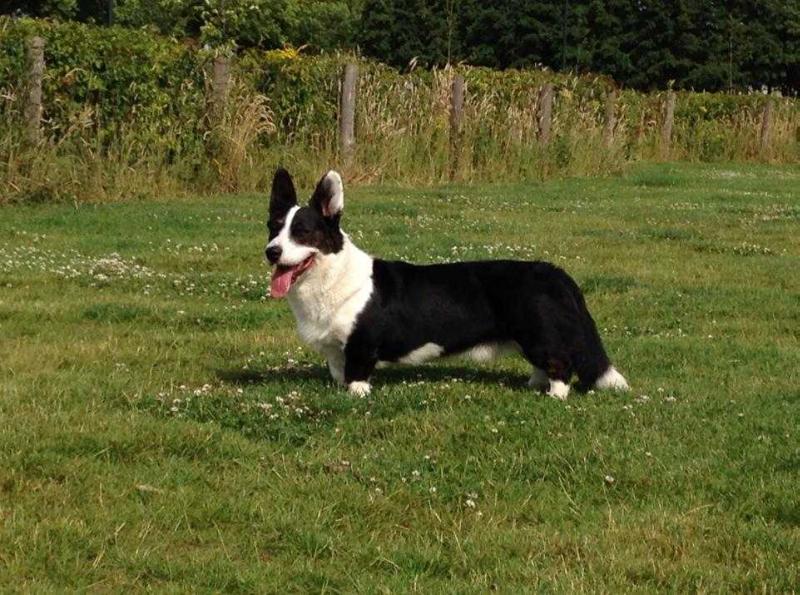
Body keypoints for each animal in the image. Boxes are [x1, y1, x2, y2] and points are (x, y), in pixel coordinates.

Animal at [266, 169, 628, 400]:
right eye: (273, 227)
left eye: (303, 231)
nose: (271, 252)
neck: (329, 278)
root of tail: (555, 272)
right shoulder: (335, 352)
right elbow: (338, 374)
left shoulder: (360, 348)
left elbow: (356, 378)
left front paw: (355, 398)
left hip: (538, 333)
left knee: (560, 364)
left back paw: (554, 396)